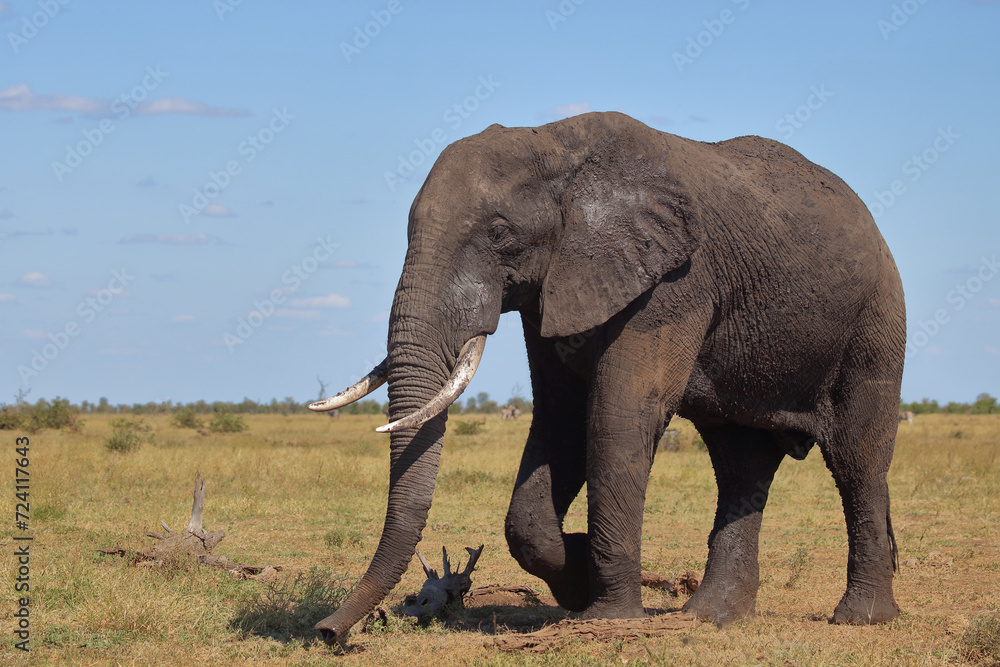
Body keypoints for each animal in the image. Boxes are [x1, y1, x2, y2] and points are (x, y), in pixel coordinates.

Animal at [309, 111, 905, 643]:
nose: (327, 632)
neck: (552, 143)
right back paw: (710, 617)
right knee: (741, 464)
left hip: (875, 319)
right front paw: (575, 574)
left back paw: (861, 619)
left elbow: (620, 417)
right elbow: (560, 422)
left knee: (856, 458)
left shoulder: (673, 282)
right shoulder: (554, 288)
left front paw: (607, 616)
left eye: (499, 233)